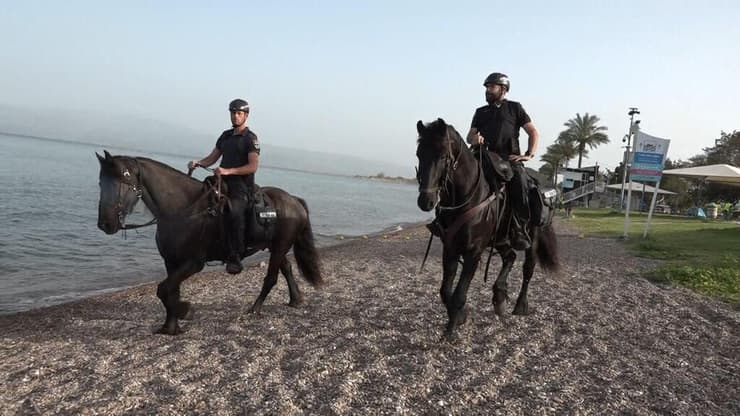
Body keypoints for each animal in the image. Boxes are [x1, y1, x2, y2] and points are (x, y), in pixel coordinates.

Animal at [94, 150, 320, 334]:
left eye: (123, 181)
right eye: (101, 183)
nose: (105, 223)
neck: (183, 208)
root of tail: (294, 200)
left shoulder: (194, 263)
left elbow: (164, 290)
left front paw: (185, 310)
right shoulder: (171, 262)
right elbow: (170, 291)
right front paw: (170, 327)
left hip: (280, 245)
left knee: (271, 278)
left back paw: (255, 309)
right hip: (275, 246)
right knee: (287, 268)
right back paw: (295, 299)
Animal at [414, 118, 556, 340]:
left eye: (443, 156)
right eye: (419, 154)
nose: (425, 201)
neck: (467, 197)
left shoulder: (474, 252)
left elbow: (459, 294)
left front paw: (451, 331)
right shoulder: (451, 249)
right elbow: (445, 291)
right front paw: (460, 316)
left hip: (532, 237)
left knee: (528, 269)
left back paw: (520, 305)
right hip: (500, 239)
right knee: (510, 257)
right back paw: (499, 297)